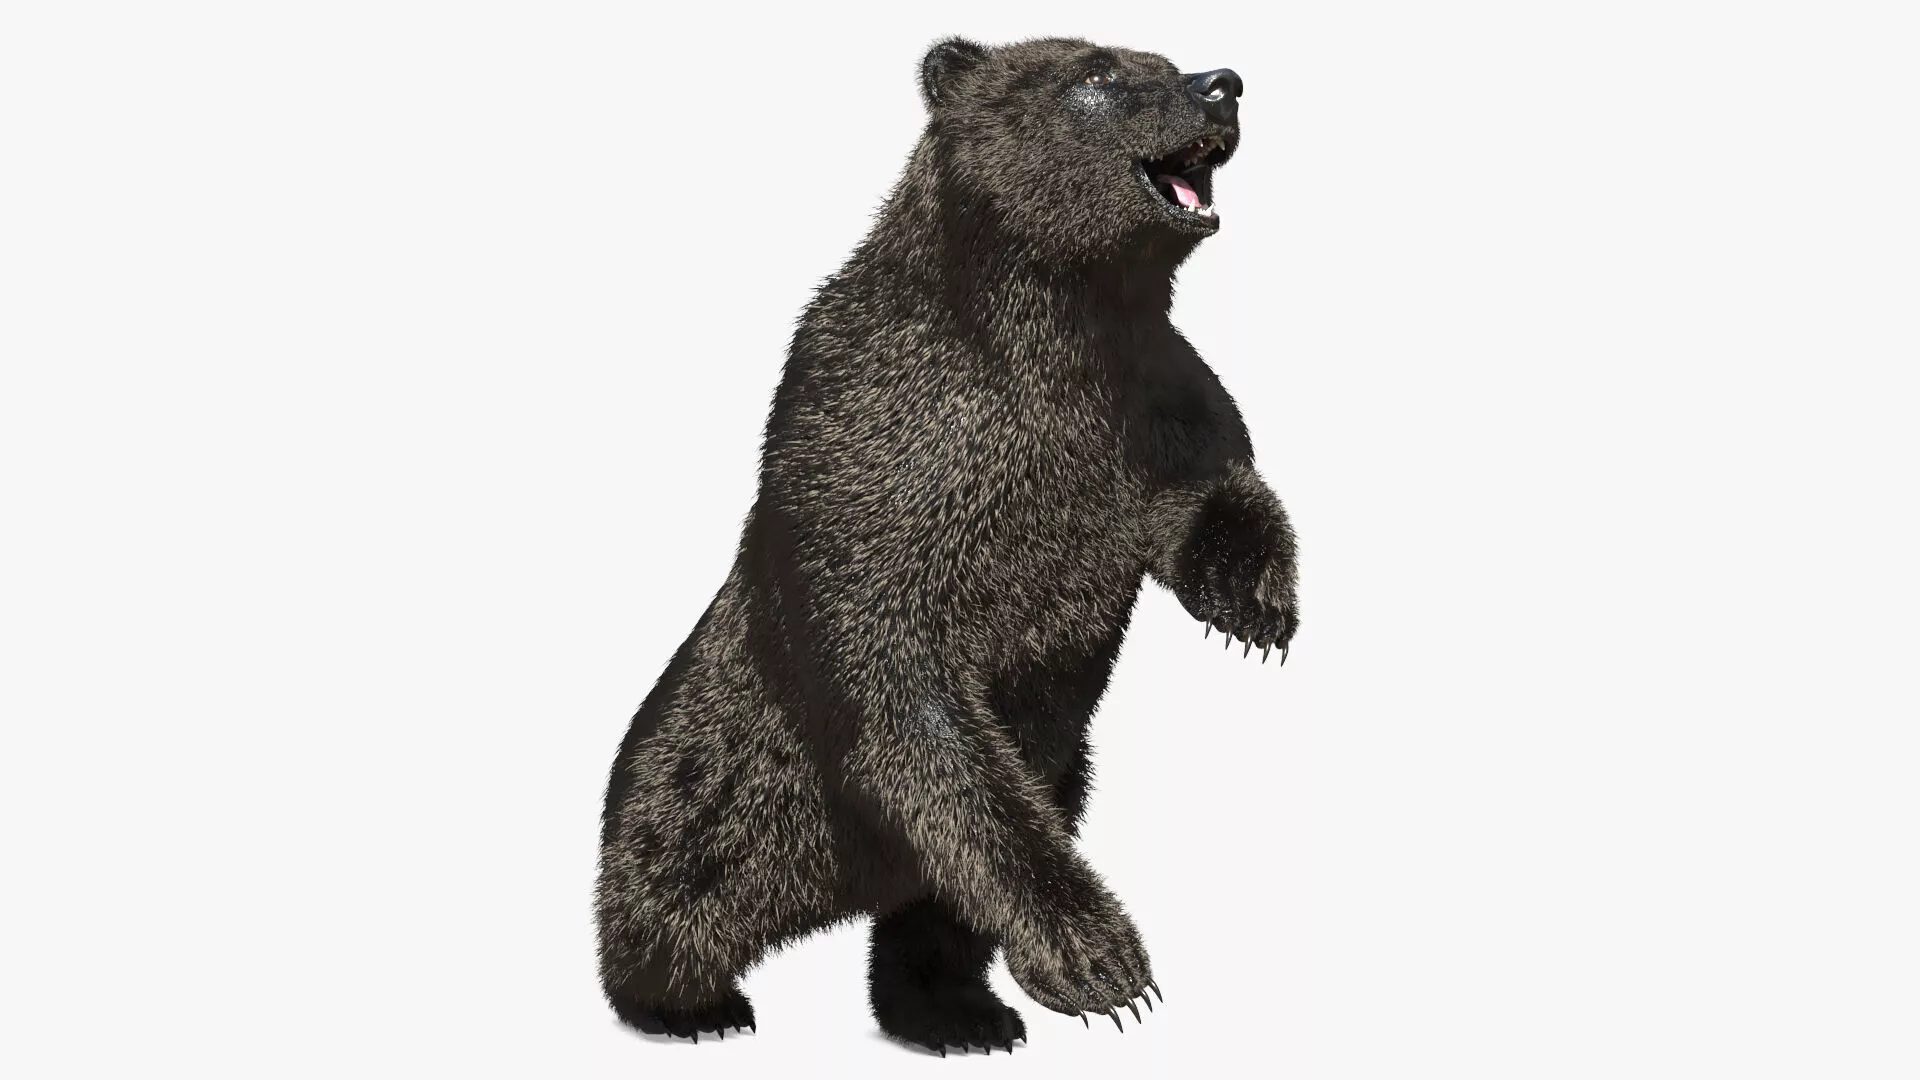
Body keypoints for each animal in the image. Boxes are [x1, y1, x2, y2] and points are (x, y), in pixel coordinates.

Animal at [596, 36, 1298, 1055]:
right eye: (1099, 73)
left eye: (1163, 58)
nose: (1223, 85)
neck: (1060, 322)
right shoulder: (882, 435)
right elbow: (911, 693)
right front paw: (1106, 963)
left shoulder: (1148, 397)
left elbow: (1215, 480)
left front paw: (1254, 605)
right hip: (717, 772)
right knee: (674, 879)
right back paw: (691, 1005)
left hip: (1063, 769)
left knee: (936, 911)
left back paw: (958, 1011)